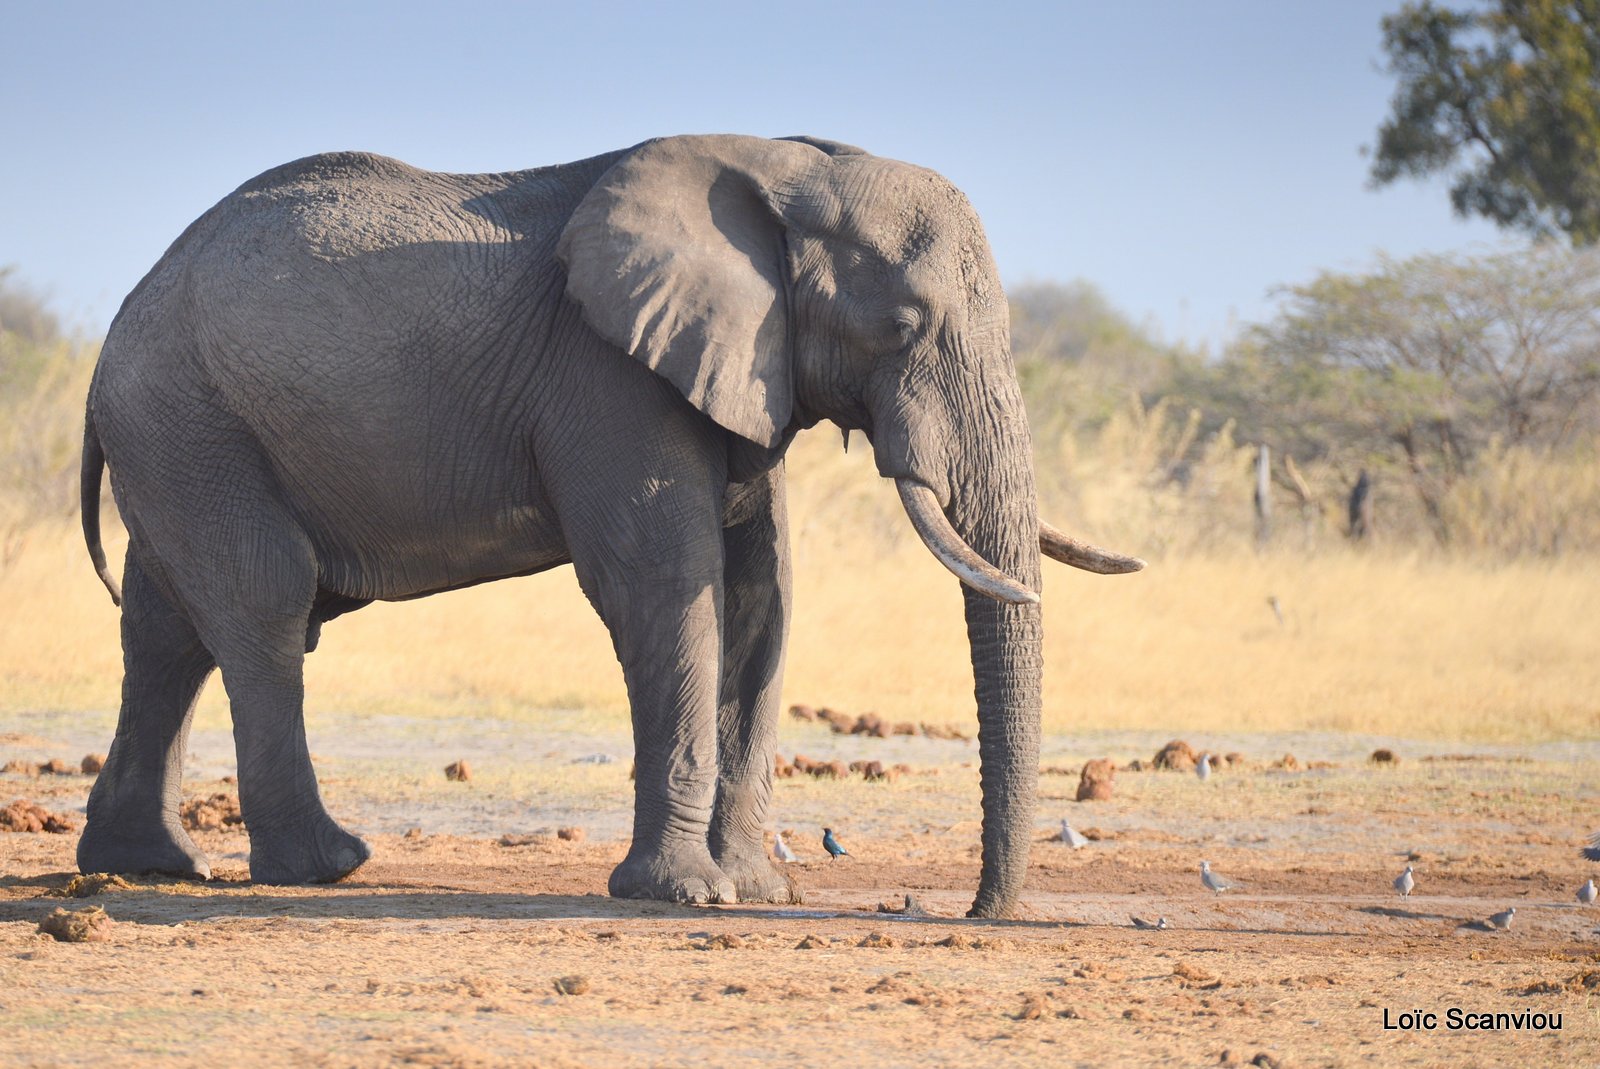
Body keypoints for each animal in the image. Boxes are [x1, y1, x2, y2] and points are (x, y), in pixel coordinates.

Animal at [81, 133, 1145, 921]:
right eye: (905, 324)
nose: (977, 912)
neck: (787, 167)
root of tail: (115, 332)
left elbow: (759, 596)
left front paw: (757, 891)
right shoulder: (606, 372)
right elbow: (666, 583)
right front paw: (688, 896)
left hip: (182, 434)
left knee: (166, 629)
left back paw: (152, 862)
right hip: (193, 420)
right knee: (264, 606)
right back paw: (324, 865)